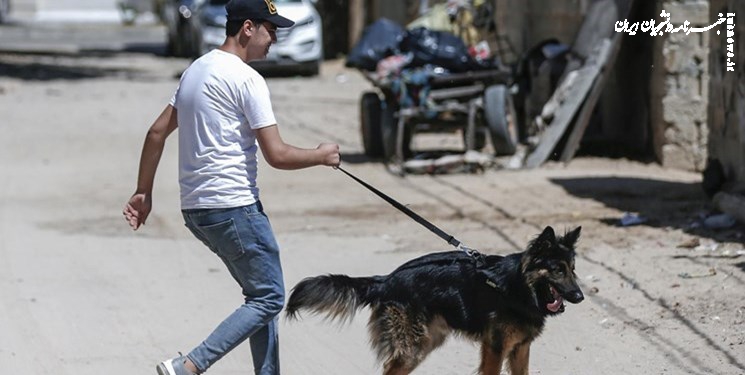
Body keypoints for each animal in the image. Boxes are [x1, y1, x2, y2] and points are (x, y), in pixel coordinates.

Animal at [284, 226, 580, 375]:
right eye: (557, 270)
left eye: (572, 268)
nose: (579, 296)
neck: (517, 287)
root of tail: (386, 279)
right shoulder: (495, 348)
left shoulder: (520, 348)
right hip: (413, 347)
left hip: (427, 341)